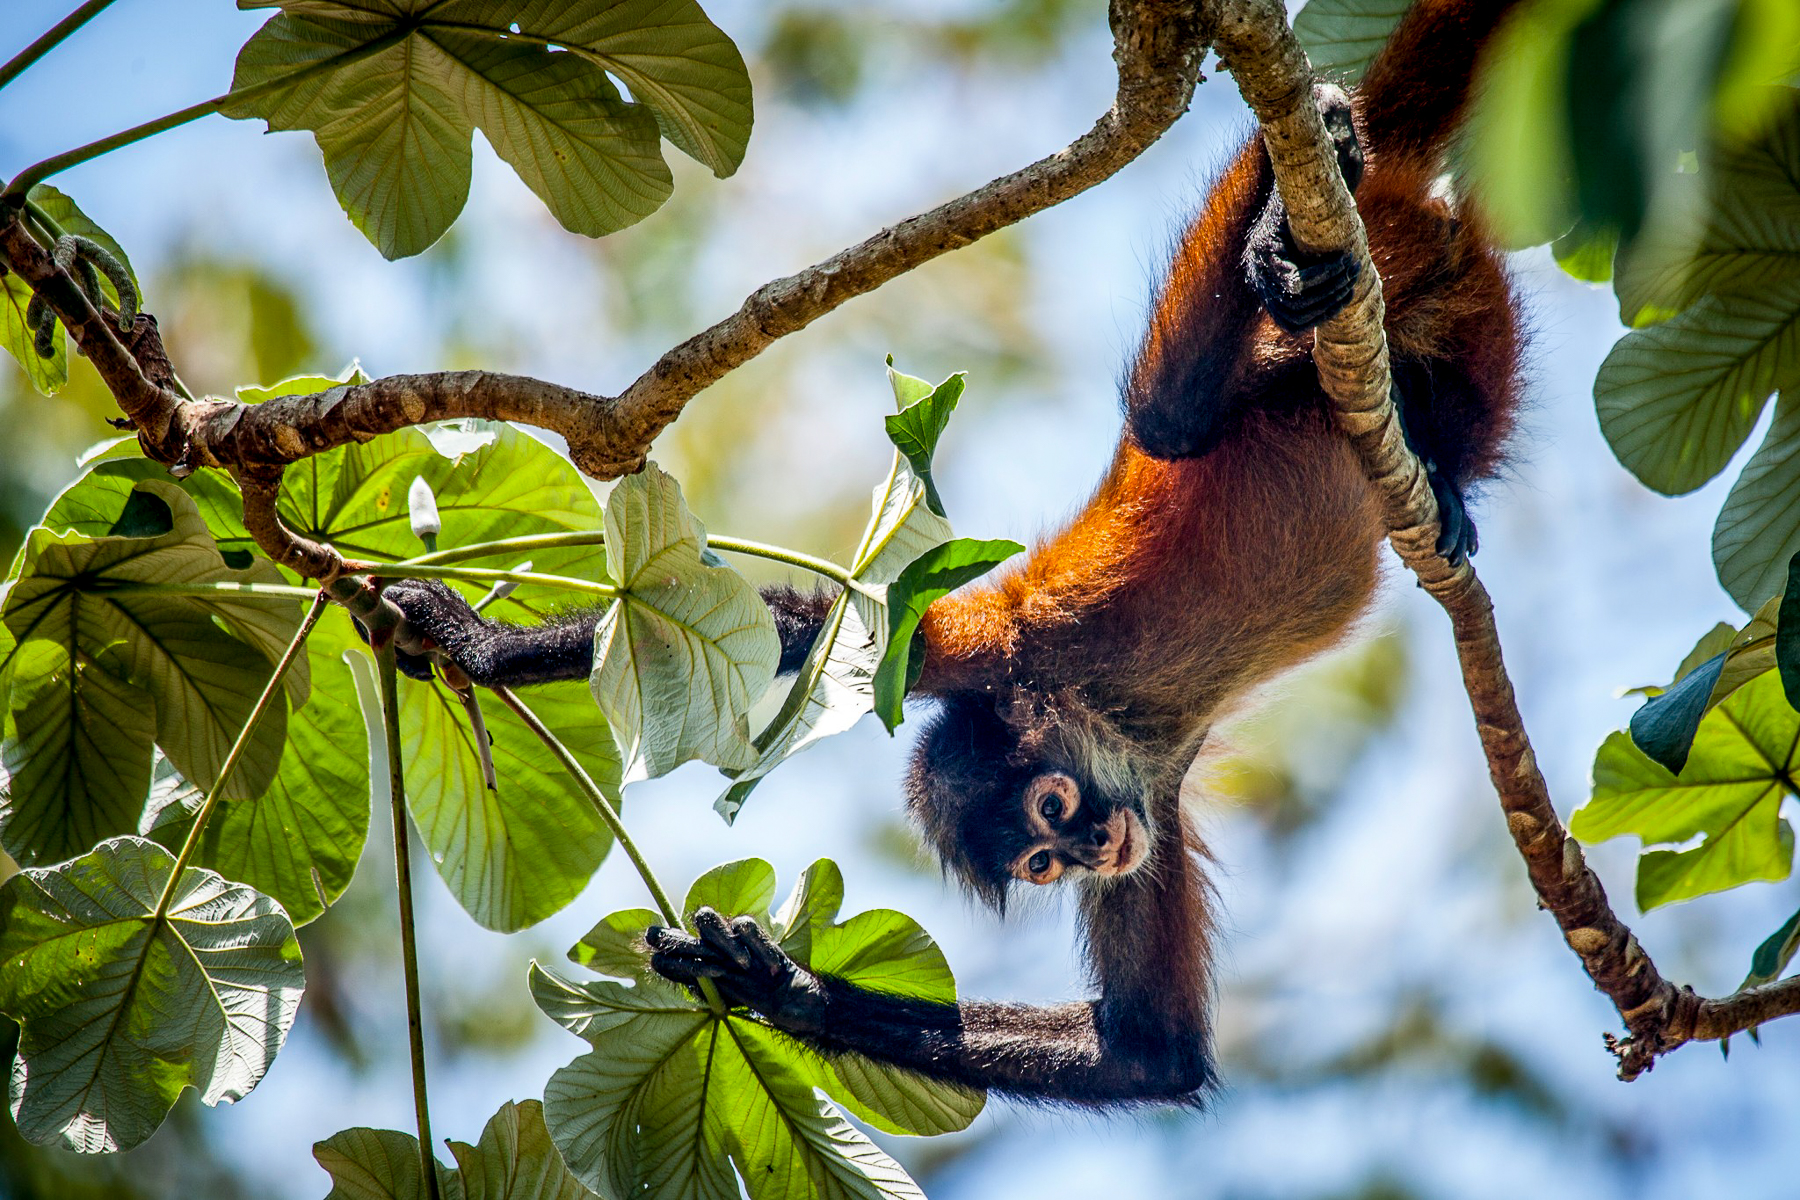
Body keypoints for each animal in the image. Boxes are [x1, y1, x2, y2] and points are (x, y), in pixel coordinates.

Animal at [376, 0, 1525, 1106]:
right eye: (1041, 859)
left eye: (1052, 814)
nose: (1088, 852)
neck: (1114, 722)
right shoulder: (1150, 798)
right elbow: (1146, 1054)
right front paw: (778, 988)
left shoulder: (1011, 656)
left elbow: (812, 631)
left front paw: (470, 643)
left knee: (1168, 414)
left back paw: (1293, 223)